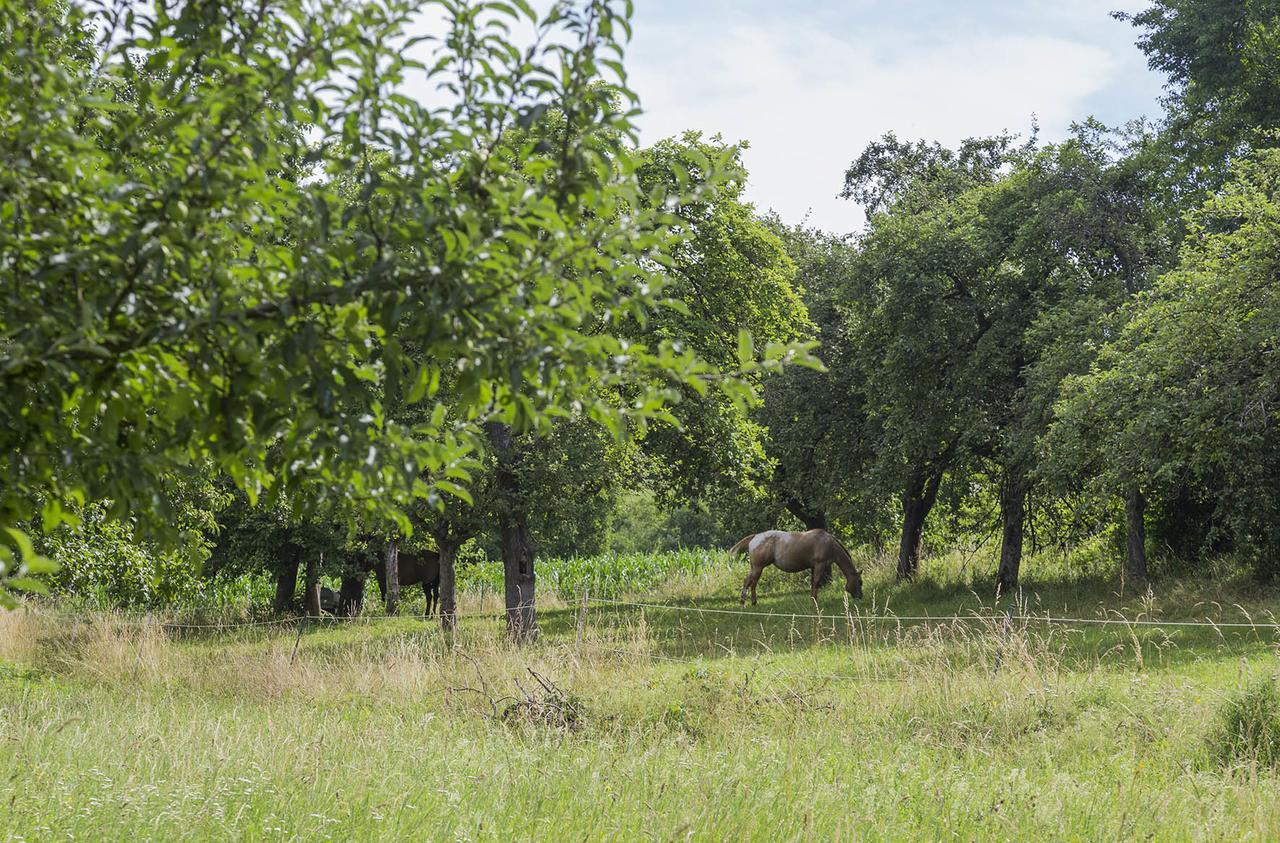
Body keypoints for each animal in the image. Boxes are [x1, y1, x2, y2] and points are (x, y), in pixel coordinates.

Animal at [727, 527, 865, 606]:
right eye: (860, 582)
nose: (860, 597)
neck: (828, 542)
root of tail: (755, 537)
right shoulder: (819, 565)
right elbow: (816, 582)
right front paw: (814, 600)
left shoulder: (814, 567)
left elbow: (813, 582)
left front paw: (812, 598)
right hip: (758, 567)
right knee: (751, 582)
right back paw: (746, 602)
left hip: (755, 568)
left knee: (750, 582)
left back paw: (750, 602)